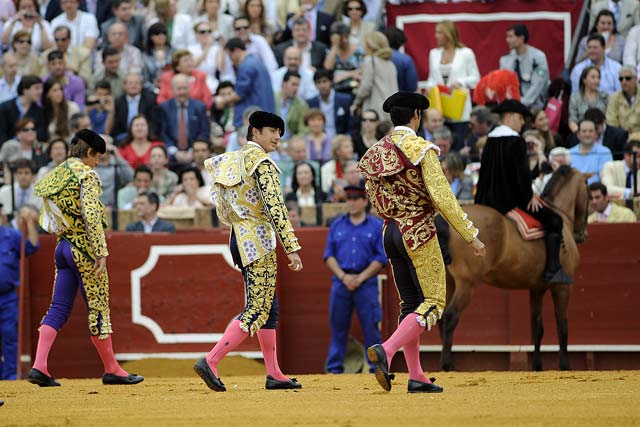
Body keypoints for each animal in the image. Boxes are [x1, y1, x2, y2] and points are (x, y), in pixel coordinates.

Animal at [442, 166, 588, 372]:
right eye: (588, 190)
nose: (582, 233)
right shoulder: (563, 287)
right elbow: (562, 325)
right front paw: (565, 365)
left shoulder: (536, 289)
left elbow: (537, 328)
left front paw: (537, 366)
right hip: (467, 283)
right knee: (451, 316)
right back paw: (448, 364)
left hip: (448, 281)